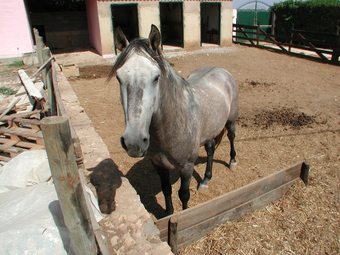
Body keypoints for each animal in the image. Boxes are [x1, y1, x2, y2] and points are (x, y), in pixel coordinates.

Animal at [107, 24, 238, 215]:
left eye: (156, 77)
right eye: (118, 77)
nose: (134, 142)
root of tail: (221, 71)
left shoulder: (187, 167)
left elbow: (183, 194)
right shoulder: (158, 165)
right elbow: (166, 190)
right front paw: (168, 214)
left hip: (231, 122)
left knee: (231, 137)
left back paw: (232, 162)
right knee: (210, 149)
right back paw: (205, 180)